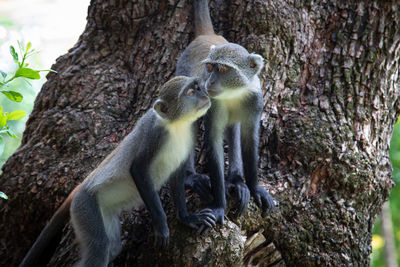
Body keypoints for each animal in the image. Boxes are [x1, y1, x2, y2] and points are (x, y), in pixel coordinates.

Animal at [19, 76, 216, 267]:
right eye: (190, 92)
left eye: (198, 87)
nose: (204, 94)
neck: (176, 125)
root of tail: (82, 186)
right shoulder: (154, 134)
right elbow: (138, 169)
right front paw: (161, 226)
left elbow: (177, 177)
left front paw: (187, 218)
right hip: (85, 206)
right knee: (99, 249)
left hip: (105, 212)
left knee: (112, 248)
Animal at [176, 0, 276, 224]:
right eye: (210, 68)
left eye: (222, 69)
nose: (210, 82)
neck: (234, 93)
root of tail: (207, 36)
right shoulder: (213, 103)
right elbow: (213, 142)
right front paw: (219, 206)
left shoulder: (255, 99)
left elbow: (249, 139)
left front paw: (254, 187)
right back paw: (190, 177)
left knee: (234, 128)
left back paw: (236, 181)